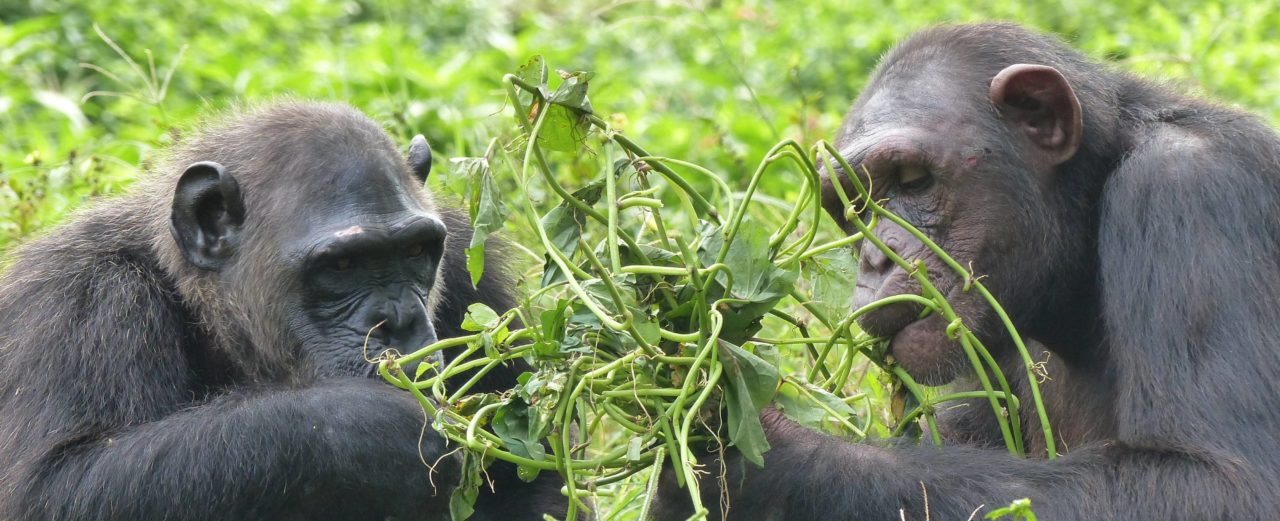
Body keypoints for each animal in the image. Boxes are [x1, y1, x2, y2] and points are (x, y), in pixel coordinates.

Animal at [0, 103, 565, 521]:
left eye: (415, 252)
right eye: (341, 264)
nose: (398, 320)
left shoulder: (473, 265)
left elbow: (537, 476)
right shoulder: (82, 304)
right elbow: (54, 485)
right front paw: (374, 427)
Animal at [655, 21, 1280, 521]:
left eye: (911, 180)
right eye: (854, 207)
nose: (875, 259)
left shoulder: (1194, 192)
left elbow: (1219, 482)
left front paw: (750, 458)